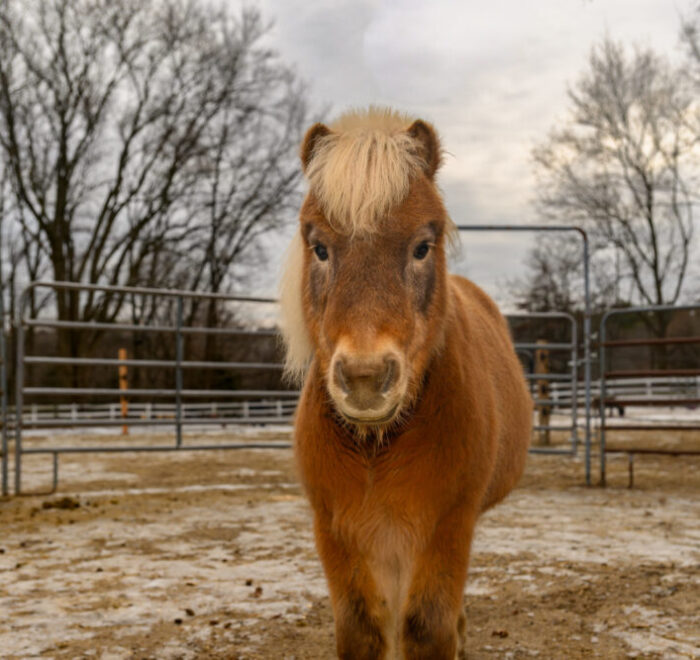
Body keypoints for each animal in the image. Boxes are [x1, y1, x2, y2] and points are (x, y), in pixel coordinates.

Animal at [279, 107, 532, 660]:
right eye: (319, 247)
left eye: (422, 247)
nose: (365, 377)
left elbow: (427, 627)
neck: (378, 444)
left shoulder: (447, 524)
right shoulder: (337, 529)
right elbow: (362, 629)